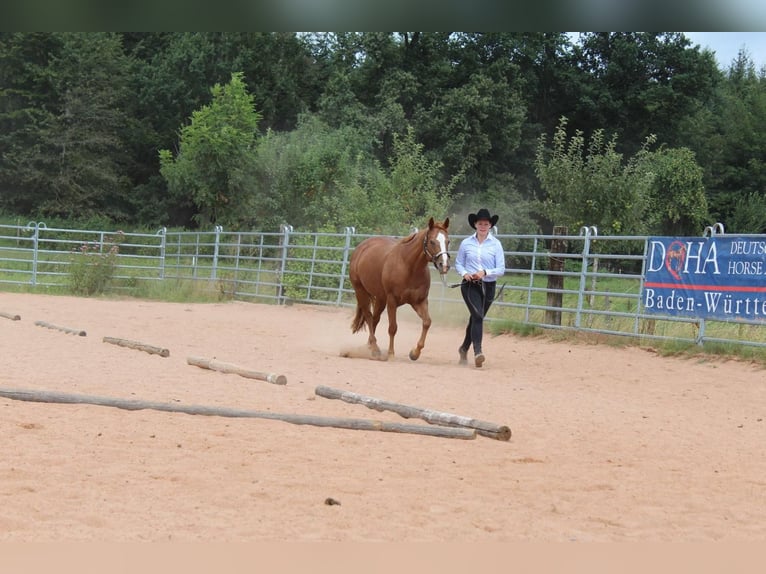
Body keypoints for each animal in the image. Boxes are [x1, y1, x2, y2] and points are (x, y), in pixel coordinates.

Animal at [349, 217, 450, 361]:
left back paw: (370, 347)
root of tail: (361, 248)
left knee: (375, 319)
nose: (444, 265)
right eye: (432, 241)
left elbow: (427, 322)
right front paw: (391, 354)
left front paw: (415, 353)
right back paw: (374, 348)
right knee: (368, 317)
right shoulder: (392, 301)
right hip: (361, 292)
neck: (409, 266)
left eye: (448, 241)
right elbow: (393, 327)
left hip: (380, 299)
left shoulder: (419, 301)